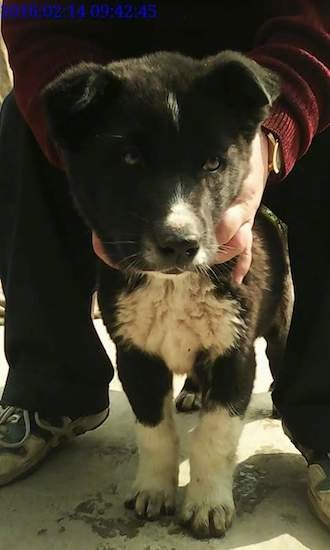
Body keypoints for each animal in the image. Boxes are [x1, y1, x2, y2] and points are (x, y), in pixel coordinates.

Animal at [42, 54, 292, 540]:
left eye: (213, 163)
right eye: (130, 159)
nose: (181, 244)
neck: (173, 285)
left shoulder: (236, 351)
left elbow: (215, 435)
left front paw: (208, 504)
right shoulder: (135, 354)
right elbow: (155, 432)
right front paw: (154, 491)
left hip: (281, 316)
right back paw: (193, 391)